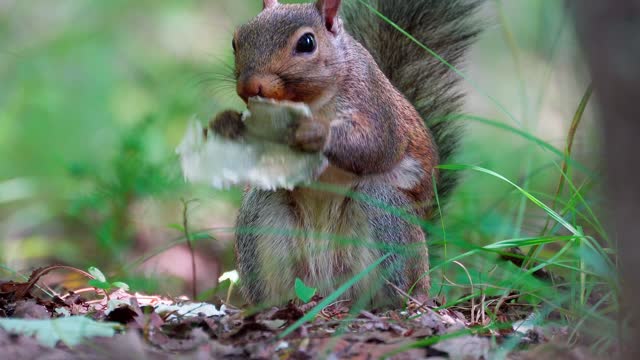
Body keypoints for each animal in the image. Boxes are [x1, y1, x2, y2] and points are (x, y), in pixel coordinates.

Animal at [209, 0, 480, 306]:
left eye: (306, 43)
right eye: (236, 40)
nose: (248, 86)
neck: (311, 102)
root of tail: (329, 288)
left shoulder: (376, 107)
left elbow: (375, 147)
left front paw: (312, 131)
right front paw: (228, 124)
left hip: (384, 212)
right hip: (263, 220)